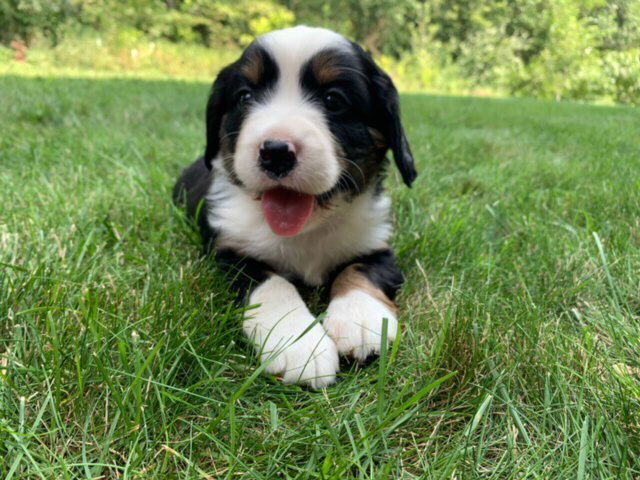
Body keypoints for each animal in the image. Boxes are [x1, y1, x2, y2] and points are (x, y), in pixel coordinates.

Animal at [172, 25, 418, 390]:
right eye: (245, 97)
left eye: (334, 100)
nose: (275, 151)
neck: (308, 229)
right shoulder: (232, 254)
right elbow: (275, 285)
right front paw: (299, 344)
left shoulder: (376, 242)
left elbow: (361, 270)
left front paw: (360, 321)